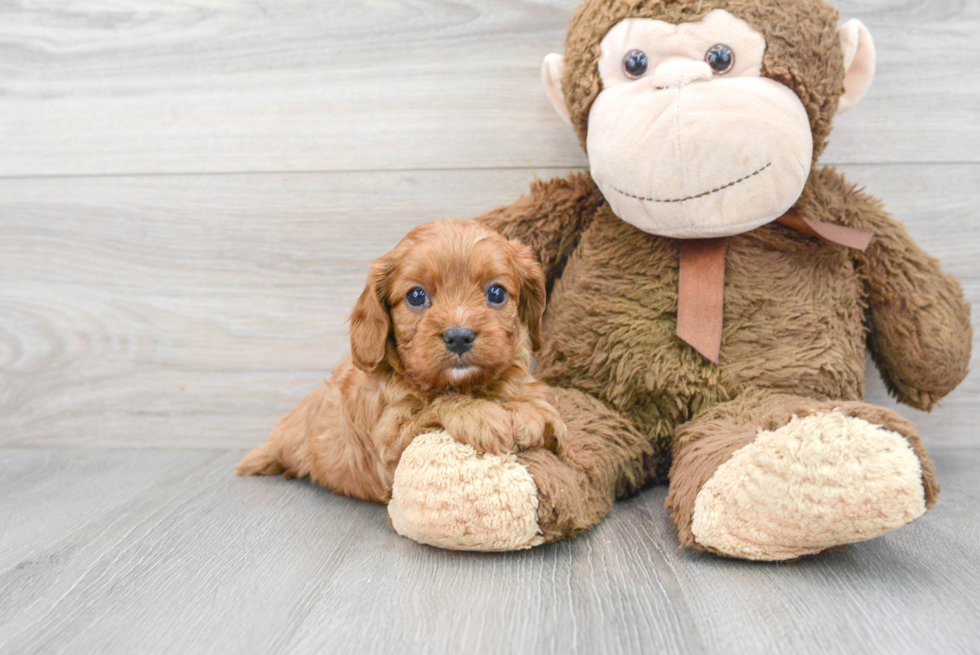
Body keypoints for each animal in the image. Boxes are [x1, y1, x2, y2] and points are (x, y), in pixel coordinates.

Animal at [234, 219, 568, 502]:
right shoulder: (390, 443)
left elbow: (542, 410)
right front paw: (481, 416)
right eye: (416, 296)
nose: (459, 336)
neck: (465, 384)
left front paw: (527, 413)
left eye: (496, 293)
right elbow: (438, 403)